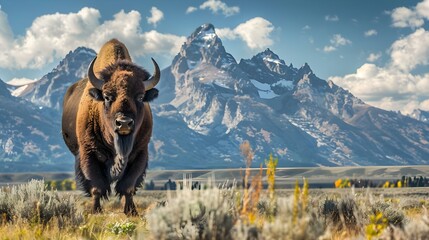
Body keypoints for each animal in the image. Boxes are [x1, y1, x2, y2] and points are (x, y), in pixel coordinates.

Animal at [60, 39, 159, 216]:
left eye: (140, 97)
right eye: (107, 96)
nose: (124, 123)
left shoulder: (140, 153)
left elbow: (128, 185)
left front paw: (131, 211)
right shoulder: (89, 153)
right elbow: (97, 186)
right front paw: (96, 210)